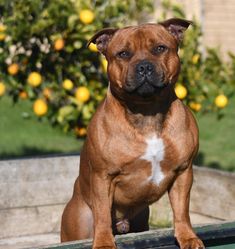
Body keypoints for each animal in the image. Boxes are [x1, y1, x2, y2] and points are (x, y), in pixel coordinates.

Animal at [60, 18, 204, 249]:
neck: (147, 113)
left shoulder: (183, 172)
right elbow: (102, 214)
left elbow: (182, 210)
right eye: (123, 54)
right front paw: (103, 243)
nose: (144, 66)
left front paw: (188, 237)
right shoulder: (103, 177)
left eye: (160, 48)